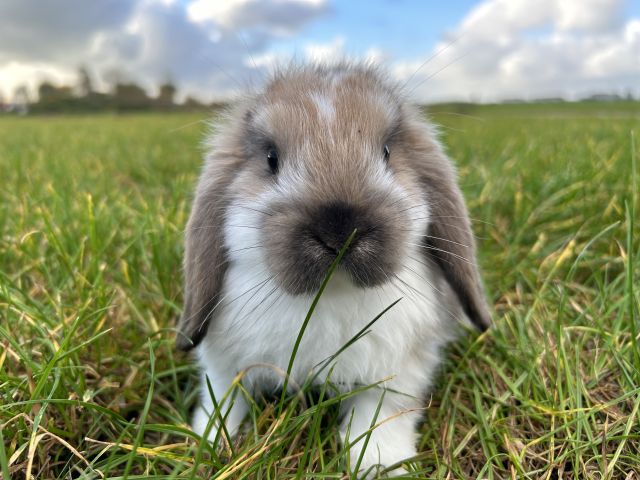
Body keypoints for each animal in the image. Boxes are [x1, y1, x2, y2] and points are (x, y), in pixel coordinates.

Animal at [176, 62, 490, 476]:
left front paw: (380, 464)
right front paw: (209, 442)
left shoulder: (398, 374)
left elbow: (380, 414)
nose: (340, 229)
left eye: (387, 152)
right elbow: (224, 399)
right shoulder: (224, 364)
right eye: (271, 159)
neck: (329, 298)